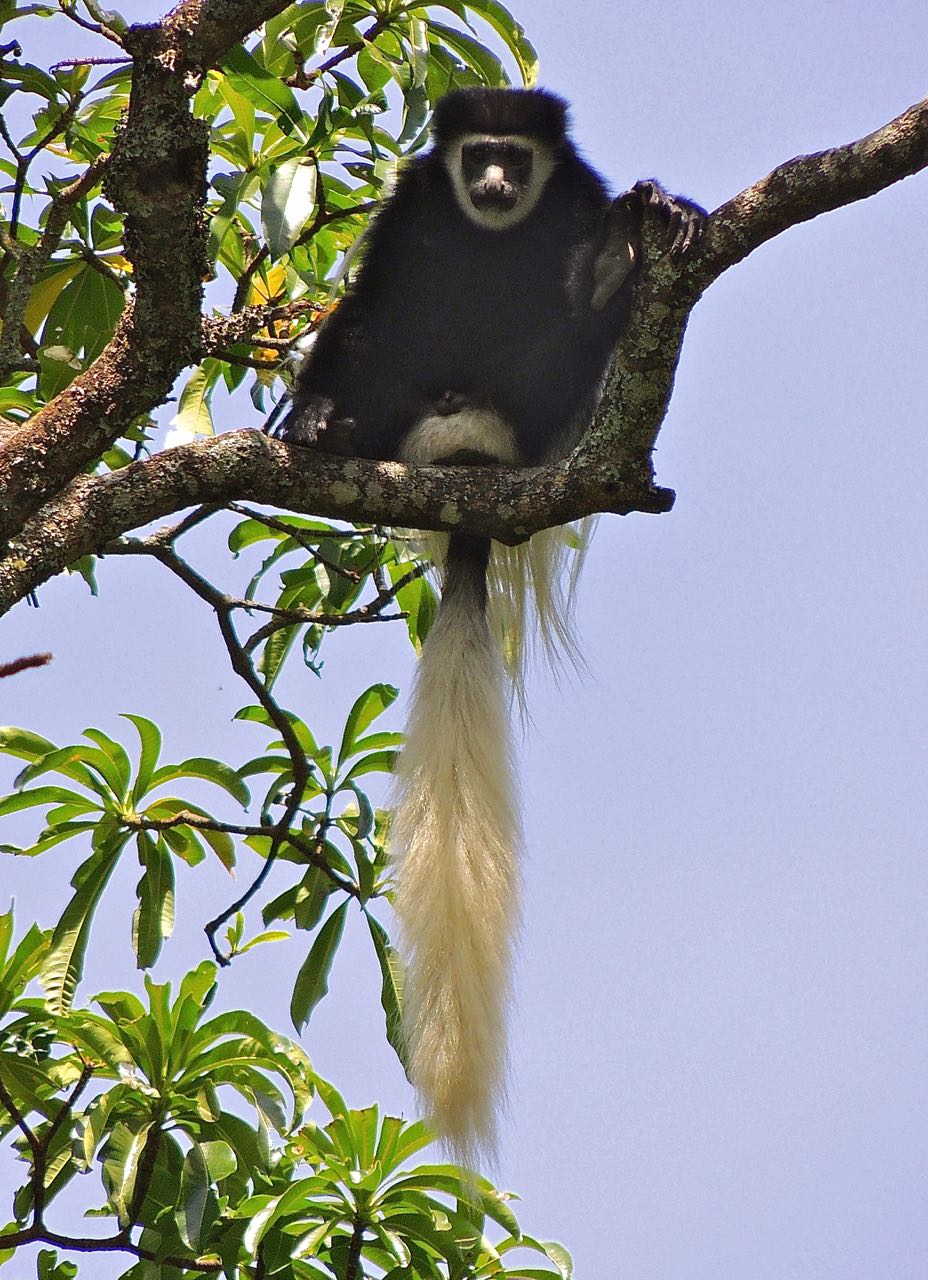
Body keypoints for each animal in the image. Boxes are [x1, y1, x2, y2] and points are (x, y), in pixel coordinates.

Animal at [271, 82, 706, 1162]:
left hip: (534, 403)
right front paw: (313, 412)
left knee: (570, 338)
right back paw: (339, 428)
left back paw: (607, 280)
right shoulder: (416, 202)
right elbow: (372, 296)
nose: (500, 183)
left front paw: (639, 231)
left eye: (517, 154)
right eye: (478, 158)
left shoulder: (574, 194)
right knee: (385, 329)